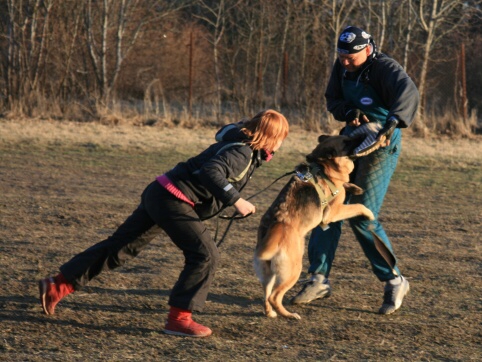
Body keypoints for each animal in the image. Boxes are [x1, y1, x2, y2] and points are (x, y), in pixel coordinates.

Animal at [254, 134, 374, 318]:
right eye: (347, 141)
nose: (364, 134)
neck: (323, 167)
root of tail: (276, 226)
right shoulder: (334, 213)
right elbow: (357, 206)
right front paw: (368, 213)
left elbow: (346, 185)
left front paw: (354, 187)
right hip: (294, 270)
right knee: (275, 296)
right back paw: (289, 315)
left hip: (268, 273)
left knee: (266, 295)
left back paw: (271, 313)